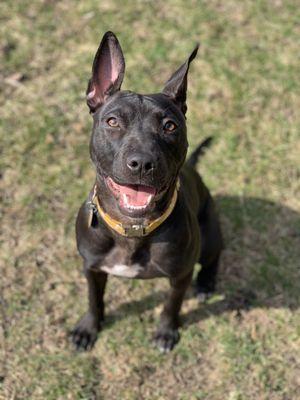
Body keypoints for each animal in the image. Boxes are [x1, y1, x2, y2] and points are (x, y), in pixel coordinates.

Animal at [71, 32, 223, 354]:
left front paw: (166, 332)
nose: (141, 162)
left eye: (169, 126)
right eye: (112, 121)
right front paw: (88, 328)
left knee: (214, 255)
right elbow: (93, 299)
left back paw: (206, 284)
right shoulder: (91, 268)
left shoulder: (180, 274)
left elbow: (171, 305)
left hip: (210, 234)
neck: (132, 228)